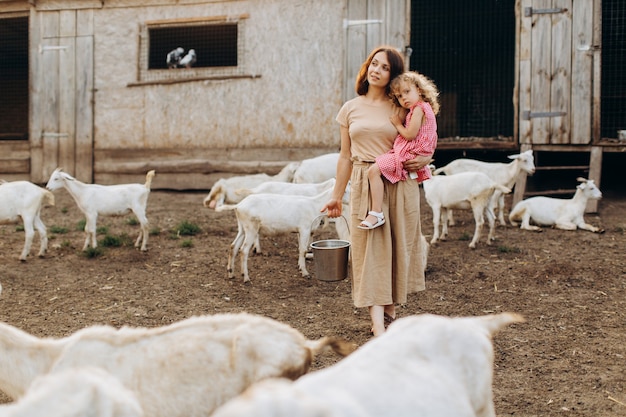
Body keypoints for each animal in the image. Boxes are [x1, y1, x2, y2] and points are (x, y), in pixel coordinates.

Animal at [217, 186, 348, 282]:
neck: (314, 205)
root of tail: (238, 205)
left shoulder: (302, 231)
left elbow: (301, 249)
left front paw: (300, 267)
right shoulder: (304, 229)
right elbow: (303, 250)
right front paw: (305, 273)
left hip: (242, 228)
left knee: (233, 247)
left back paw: (231, 274)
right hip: (251, 228)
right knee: (243, 250)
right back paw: (246, 278)